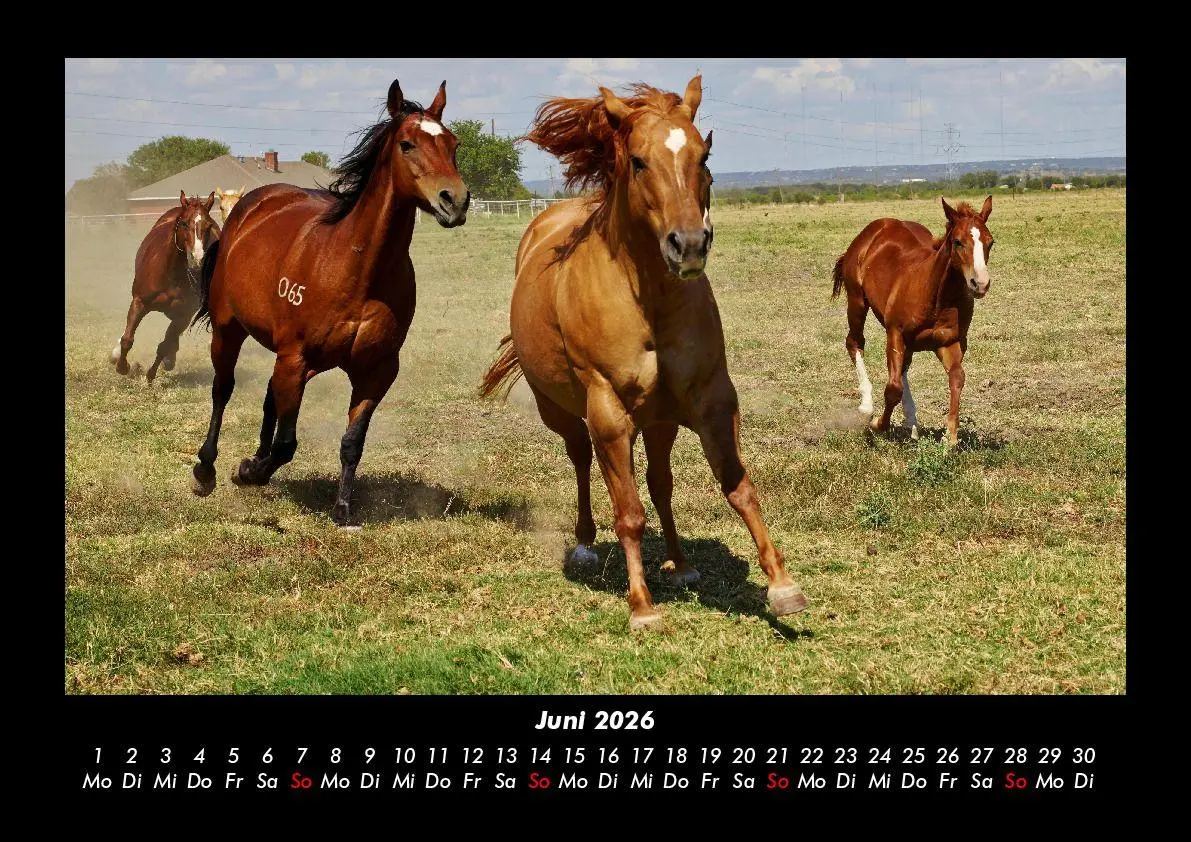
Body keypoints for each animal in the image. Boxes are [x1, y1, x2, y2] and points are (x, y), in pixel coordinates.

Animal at [110, 191, 220, 382]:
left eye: (209, 225)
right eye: (184, 223)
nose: (198, 259)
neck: (171, 274)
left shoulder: (184, 314)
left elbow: (165, 344)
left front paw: (151, 374)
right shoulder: (139, 302)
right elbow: (128, 339)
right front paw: (122, 367)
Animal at [189, 78, 470, 527]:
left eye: (453, 143)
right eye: (407, 144)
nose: (455, 200)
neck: (356, 270)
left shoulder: (375, 371)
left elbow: (352, 441)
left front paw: (342, 508)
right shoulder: (295, 357)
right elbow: (286, 443)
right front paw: (249, 471)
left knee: (269, 396)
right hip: (230, 331)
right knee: (223, 389)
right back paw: (206, 469)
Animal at [479, 76, 808, 630]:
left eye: (703, 154)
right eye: (637, 161)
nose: (690, 244)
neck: (647, 300)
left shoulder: (710, 399)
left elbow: (737, 487)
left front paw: (782, 586)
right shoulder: (609, 411)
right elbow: (628, 513)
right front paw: (641, 606)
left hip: (659, 420)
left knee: (659, 482)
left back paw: (680, 563)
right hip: (565, 412)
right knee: (583, 461)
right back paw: (586, 545)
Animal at [831, 196, 995, 446]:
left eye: (990, 242)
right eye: (957, 242)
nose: (980, 283)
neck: (936, 296)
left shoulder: (950, 342)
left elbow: (957, 378)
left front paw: (950, 437)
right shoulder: (895, 333)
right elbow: (893, 388)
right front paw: (877, 424)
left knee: (904, 367)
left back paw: (912, 422)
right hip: (857, 301)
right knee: (854, 342)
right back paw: (867, 405)